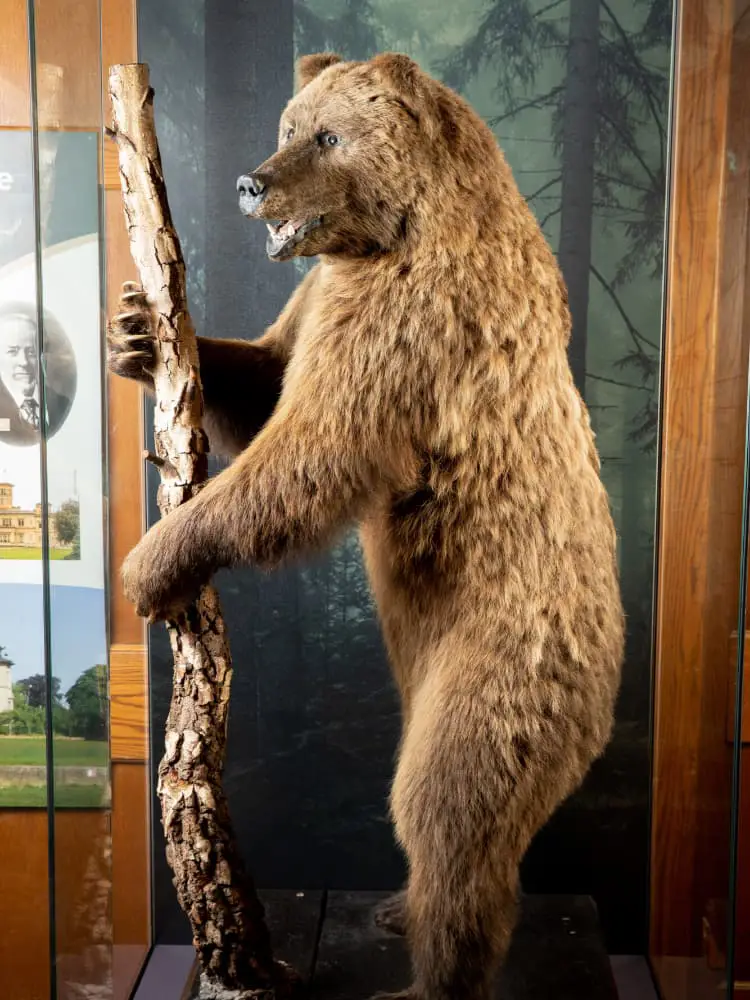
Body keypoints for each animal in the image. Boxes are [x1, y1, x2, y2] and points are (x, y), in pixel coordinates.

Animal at [109, 52, 624, 1000]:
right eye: (288, 123)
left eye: (328, 135)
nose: (250, 183)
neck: (388, 239)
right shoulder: (323, 296)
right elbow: (267, 376)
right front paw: (134, 329)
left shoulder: (410, 327)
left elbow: (312, 451)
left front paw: (152, 564)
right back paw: (396, 908)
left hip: (503, 660)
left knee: (449, 806)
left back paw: (425, 973)